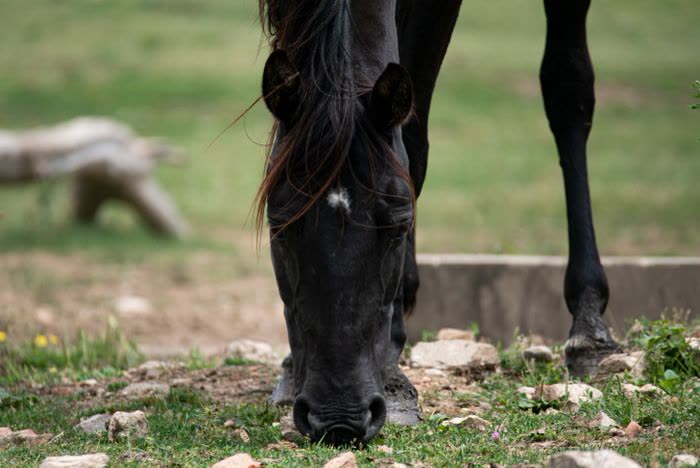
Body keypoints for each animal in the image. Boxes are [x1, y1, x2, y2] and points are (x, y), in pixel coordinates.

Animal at [256, 0, 620, 445]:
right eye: (279, 228)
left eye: (399, 227)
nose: (339, 418)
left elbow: (413, 138)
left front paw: (394, 379)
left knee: (568, 86)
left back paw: (588, 326)